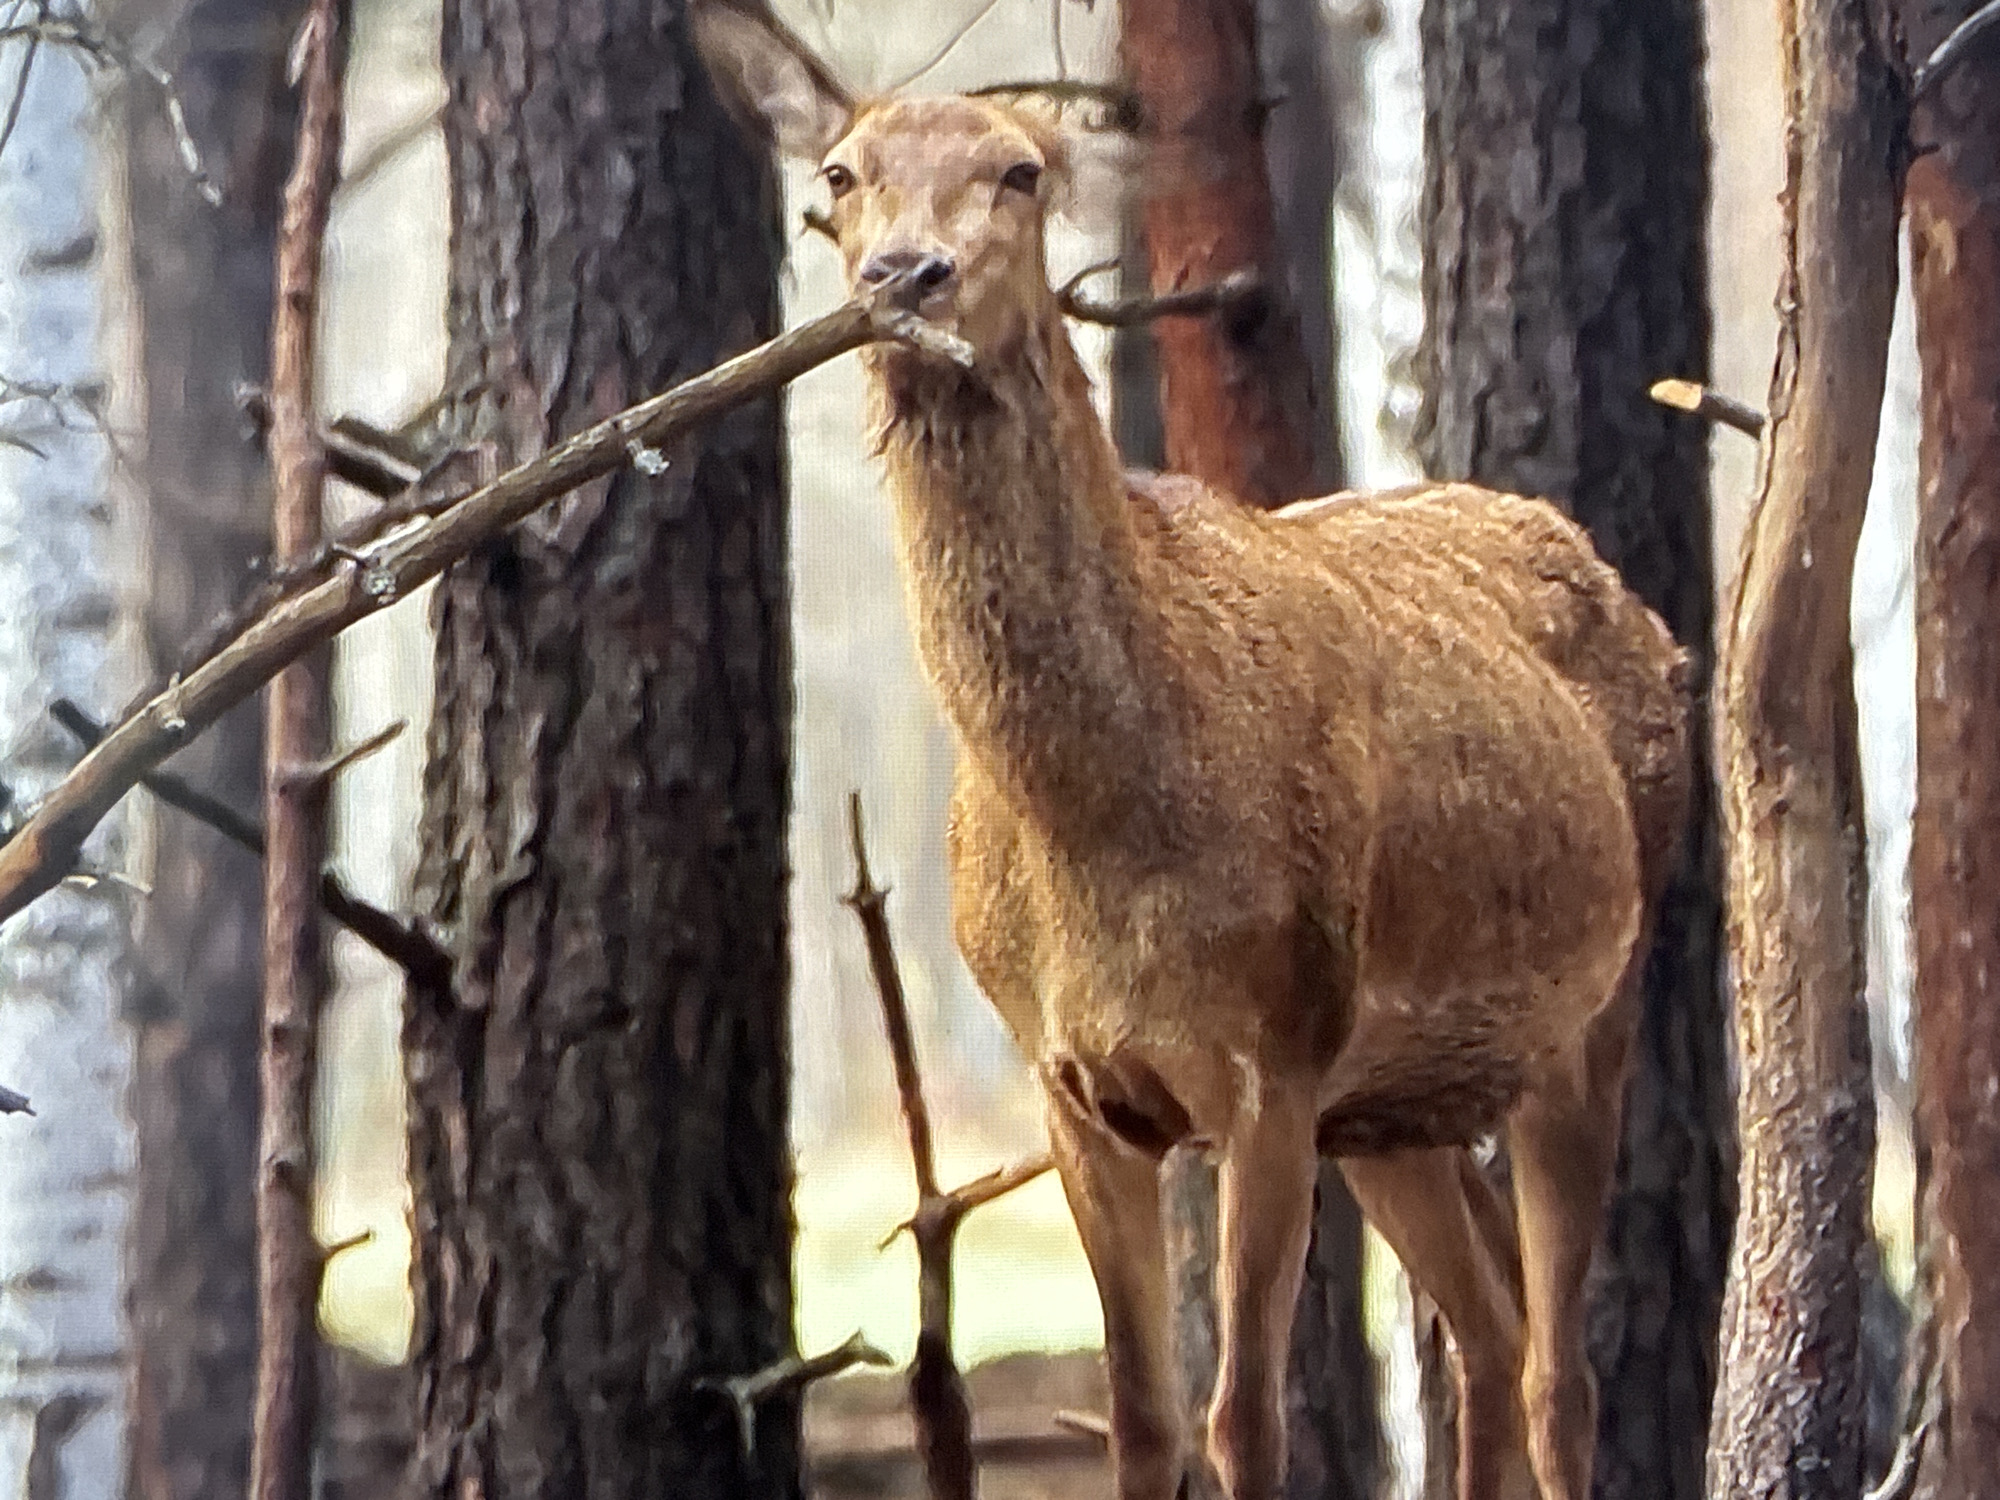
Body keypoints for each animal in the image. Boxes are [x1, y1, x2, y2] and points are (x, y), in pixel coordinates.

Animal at [693, 8, 1692, 1500]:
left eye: (1022, 171)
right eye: (840, 174)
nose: (905, 275)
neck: (1103, 843)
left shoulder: (1272, 1059)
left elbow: (1245, 1417)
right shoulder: (1073, 1083)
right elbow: (1144, 1414)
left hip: (1588, 1007)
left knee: (1554, 1371)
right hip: (1393, 1104)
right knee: (1487, 1329)